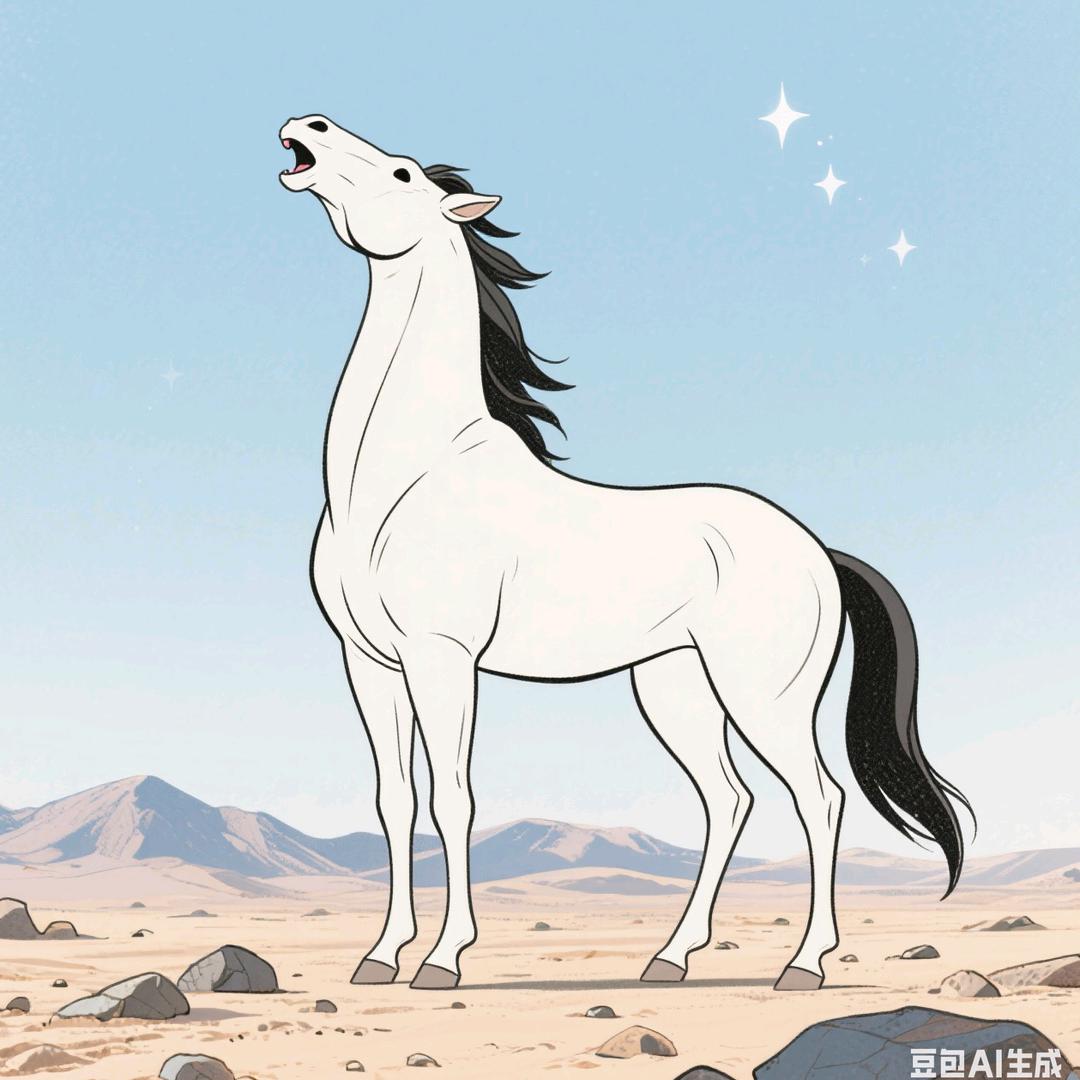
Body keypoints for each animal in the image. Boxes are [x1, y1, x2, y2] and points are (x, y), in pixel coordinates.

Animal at [278, 114, 971, 992]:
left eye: (402, 174)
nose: (306, 126)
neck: (408, 471)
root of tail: (816, 549)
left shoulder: (444, 658)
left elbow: (452, 798)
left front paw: (442, 958)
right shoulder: (369, 661)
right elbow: (394, 800)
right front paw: (379, 956)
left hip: (765, 697)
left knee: (818, 799)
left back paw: (804, 965)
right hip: (676, 687)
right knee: (729, 800)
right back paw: (670, 957)